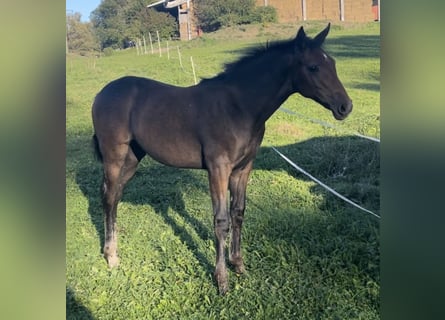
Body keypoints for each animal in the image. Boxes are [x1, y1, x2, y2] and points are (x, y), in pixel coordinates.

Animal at [92, 24, 352, 296]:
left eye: (332, 63)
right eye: (313, 67)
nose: (345, 106)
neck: (239, 108)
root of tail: (102, 93)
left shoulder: (243, 169)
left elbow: (238, 213)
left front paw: (238, 265)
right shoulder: (218, 169)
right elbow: (221, 220)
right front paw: (222, 280)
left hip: (132, 158)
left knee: (115, 195)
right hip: (114, 156)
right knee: (108, 195)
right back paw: (111, 256)